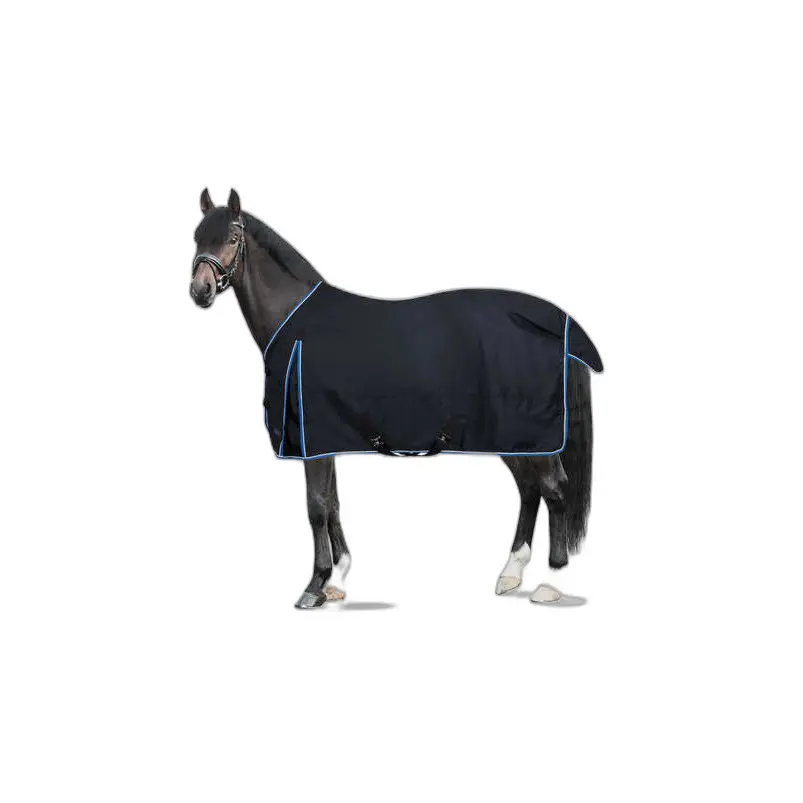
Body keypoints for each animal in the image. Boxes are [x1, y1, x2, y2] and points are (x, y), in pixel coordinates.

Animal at [189, 188, 599, 609]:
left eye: (232, 238)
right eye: (196, 237)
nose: (200, 291)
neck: (296, 323)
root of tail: (561, 327)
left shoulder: (309, 437)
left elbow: (316, 505)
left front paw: (314, 585)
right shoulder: (327, 439)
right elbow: (332, 502)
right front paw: (339, 577)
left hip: (534, 437)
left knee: (555, 489)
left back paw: (552, 581)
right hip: (511, 438)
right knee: (530, 489)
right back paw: (511, 573)